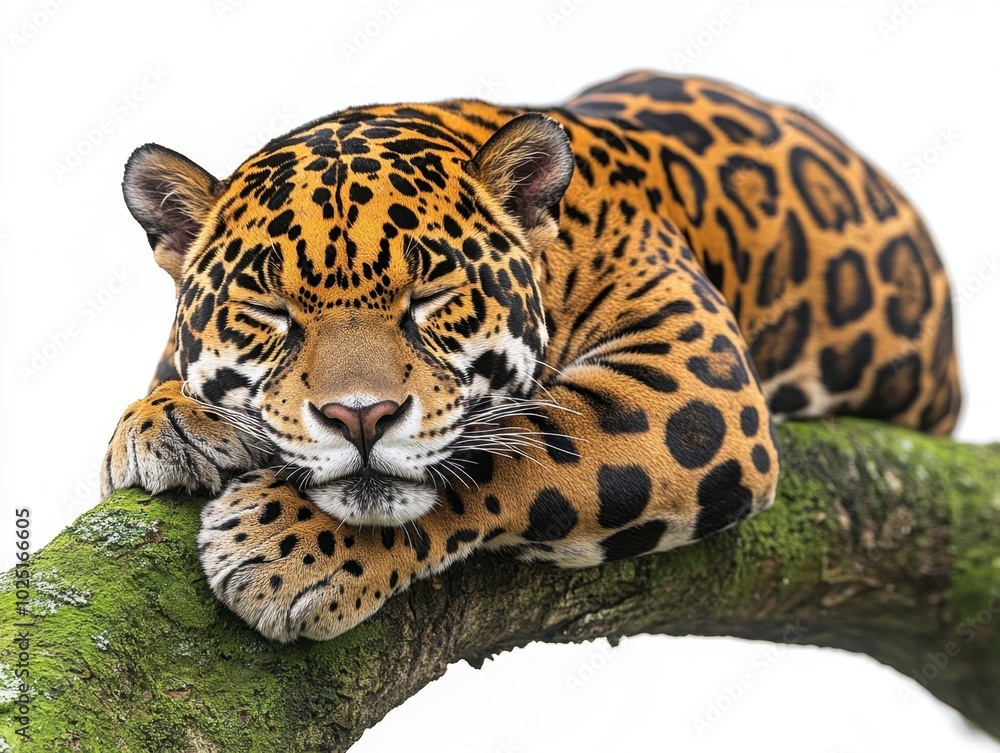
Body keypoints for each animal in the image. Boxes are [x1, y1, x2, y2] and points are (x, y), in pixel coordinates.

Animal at [101, 70, 961, 642]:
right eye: (268, 311)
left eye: (433, 293)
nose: (360, 417)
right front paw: (161, 419)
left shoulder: (696, 386)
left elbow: (510, 448)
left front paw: (286, 547)